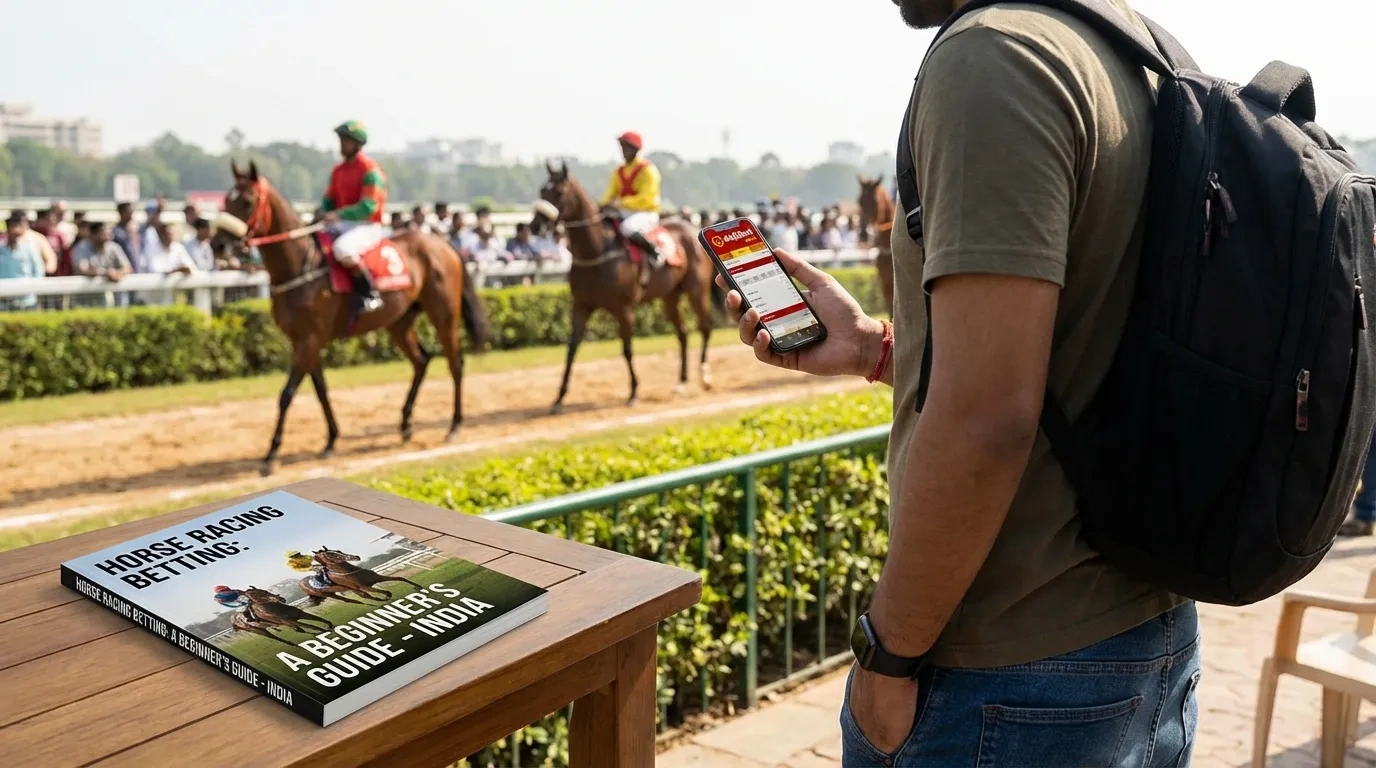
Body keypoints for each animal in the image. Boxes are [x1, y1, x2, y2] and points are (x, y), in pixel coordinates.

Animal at [214, 161, 491, 476]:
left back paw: (454, 425)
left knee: (455, 363)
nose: (217, 245)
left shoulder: (310, 340)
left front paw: (271, 454)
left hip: (443, 315)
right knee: (421, 360)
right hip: (399, 322)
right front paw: (331, 440)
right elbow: (321, 390)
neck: (301, 267)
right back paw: (406, 424)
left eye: (247, 202)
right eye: (226, 200)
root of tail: (443, 244)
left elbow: (287, 393)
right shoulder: (303, 341)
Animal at [531, 162, 719, 414]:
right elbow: (571, 349)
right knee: (683, 333)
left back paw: (705, 377)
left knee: (705, 328)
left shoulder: (624, 309)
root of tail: (690, 227)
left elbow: (627, 349)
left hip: (696, 291)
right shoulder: (581, 306)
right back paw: (681, 382)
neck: (598, 252)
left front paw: (633, 392)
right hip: (669, 297)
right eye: (543, 190)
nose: (535, 226)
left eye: (559, 193)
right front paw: (559, 398)